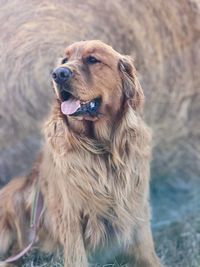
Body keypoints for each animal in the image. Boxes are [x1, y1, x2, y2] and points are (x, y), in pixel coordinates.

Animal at [0, 40, 162, 267]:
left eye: (92, 59)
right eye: (64, 60)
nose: (58, 74)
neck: (103, 149)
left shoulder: (136, 206)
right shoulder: (70, 214)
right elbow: (77, 256)